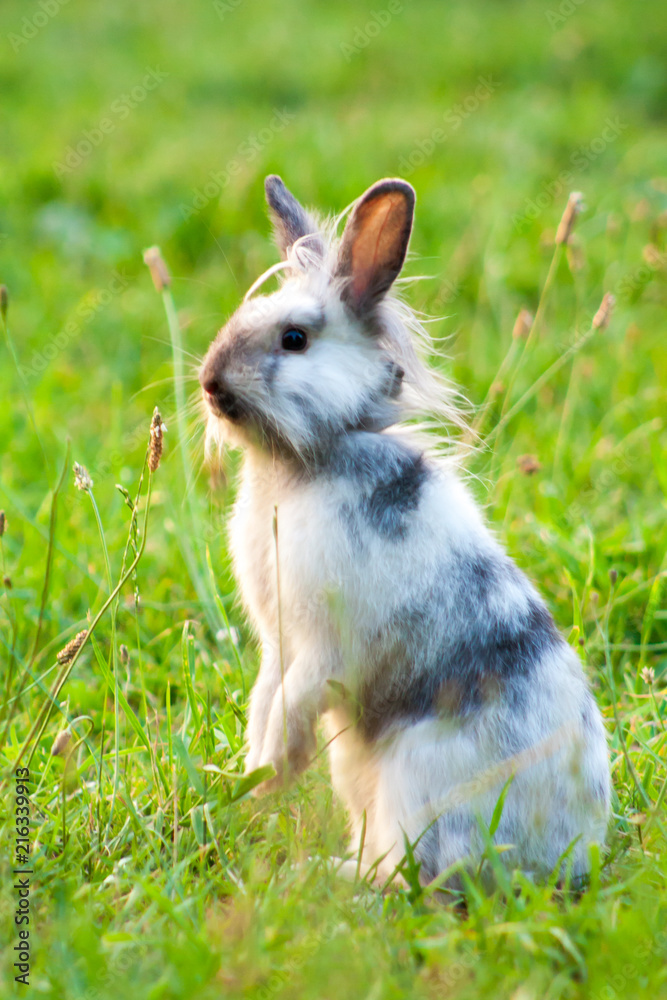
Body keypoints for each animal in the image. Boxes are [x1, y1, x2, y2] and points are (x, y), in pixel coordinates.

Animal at [199, 175, 610, 887]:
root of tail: (570, 856)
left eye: (295, 339)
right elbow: (266, 695)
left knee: (411, 880)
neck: (306, 462)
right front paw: (255, 769)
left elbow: (295, 698)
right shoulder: (279, 643)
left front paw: (272, 770)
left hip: (416, 791)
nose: (209, 383)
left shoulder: (327, 645)